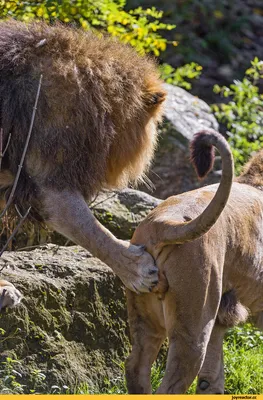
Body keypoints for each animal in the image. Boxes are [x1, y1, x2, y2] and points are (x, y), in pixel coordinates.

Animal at [126, 129, 262, 394]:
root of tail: (163, 225)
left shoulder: (221, 316)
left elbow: (212, 377)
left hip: (145, 315)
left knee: (135, 366)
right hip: (193, 324)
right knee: (171, 383)